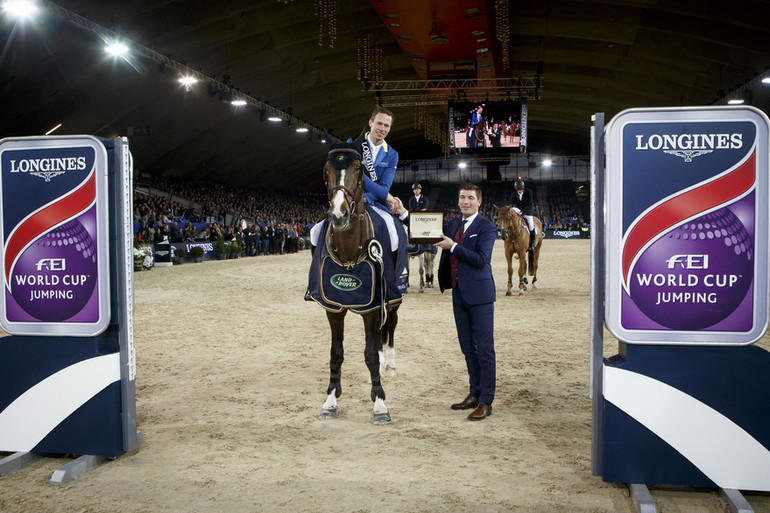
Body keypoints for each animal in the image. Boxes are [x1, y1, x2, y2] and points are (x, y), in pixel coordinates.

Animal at [310, 142, 400, 422]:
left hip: (394, 295)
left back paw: (389, 364)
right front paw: (330, 400)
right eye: (327, 169)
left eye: (358, 168)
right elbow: (336, 353)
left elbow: (370, 353)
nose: (338, 214)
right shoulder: (333, 307)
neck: (350, 251)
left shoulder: (371, 306)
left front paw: (380, 403)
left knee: (391, 325)